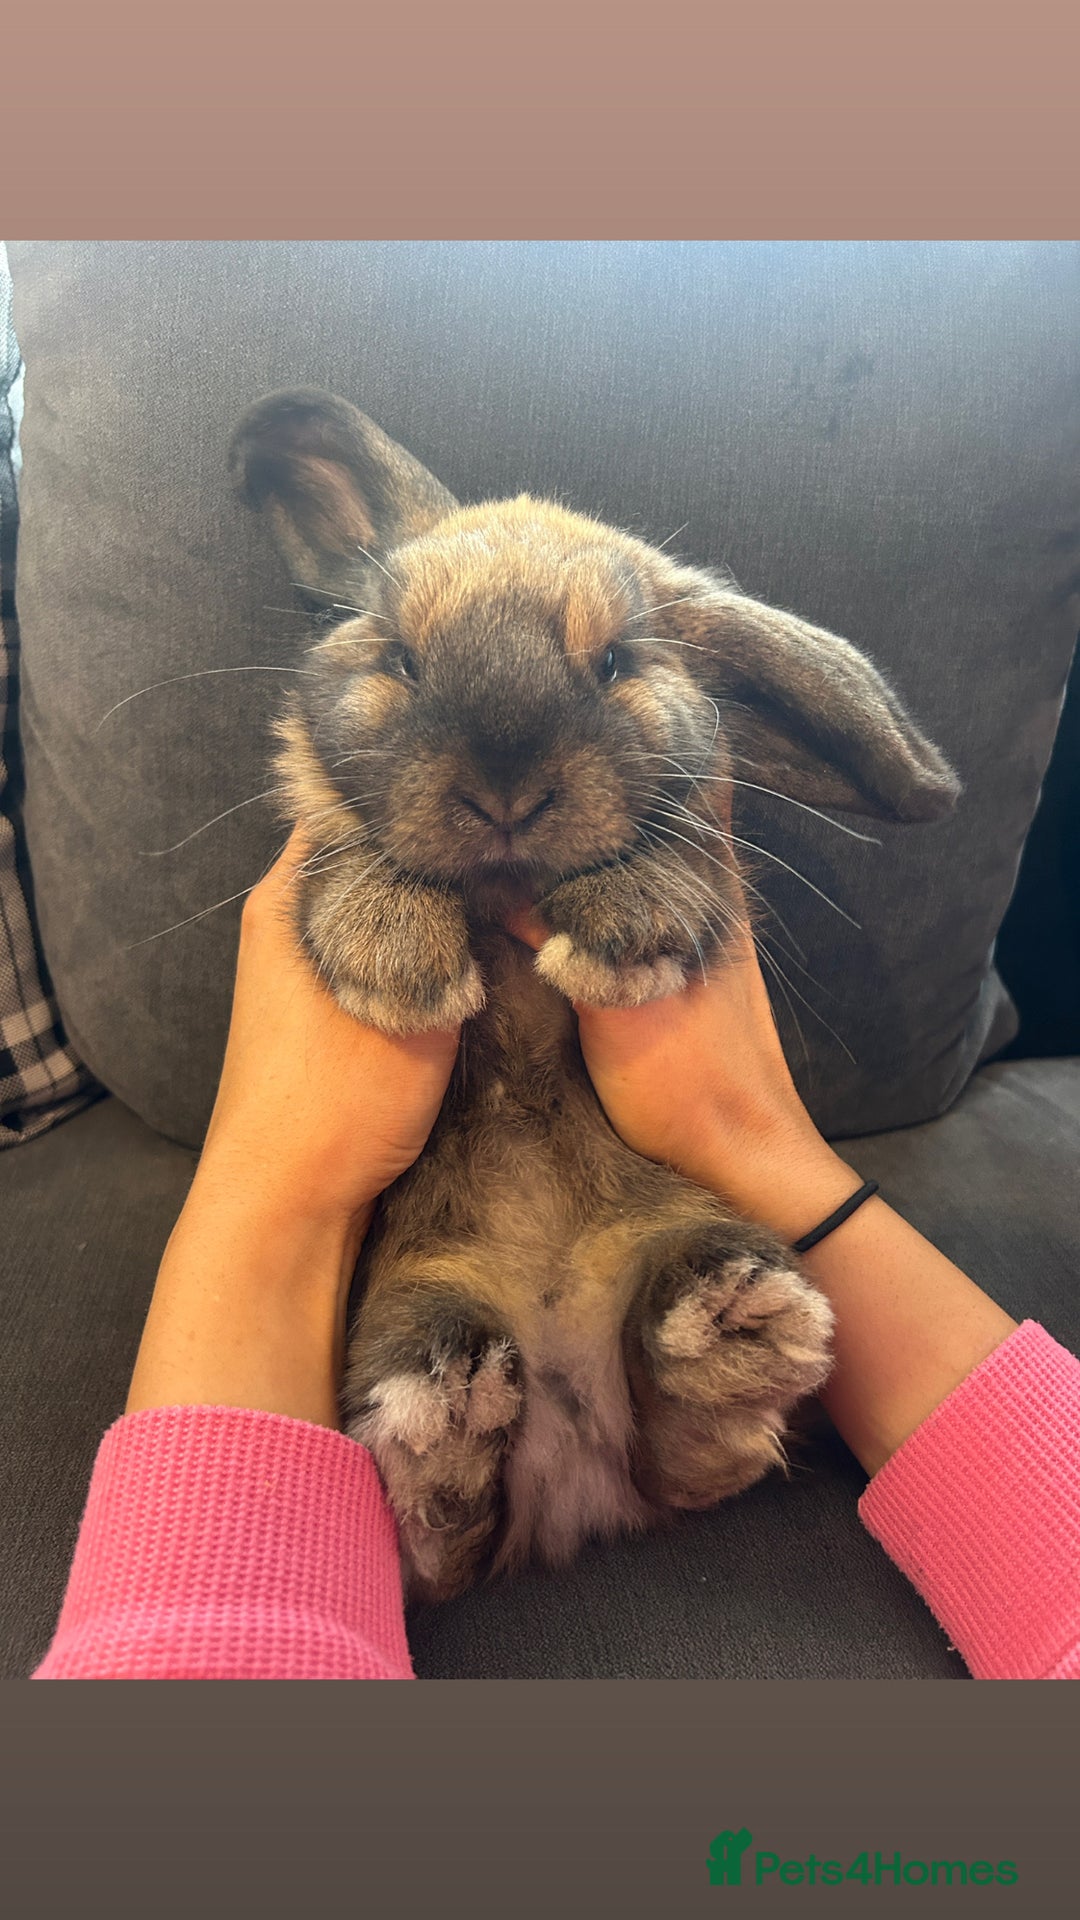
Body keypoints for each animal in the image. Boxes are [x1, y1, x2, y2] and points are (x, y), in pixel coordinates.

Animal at [229, 388, 960, 1603]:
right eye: (399, 658)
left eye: (616, 661)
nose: (504, 790)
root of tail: (576, 1479)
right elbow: (345, 848)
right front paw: (394, 959)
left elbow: (681, 864)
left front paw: (626, 933)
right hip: (412, 1295)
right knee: (447, 1529)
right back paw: (450, 1420)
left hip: (684, 1228)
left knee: (692, 1454)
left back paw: (725, 1329)